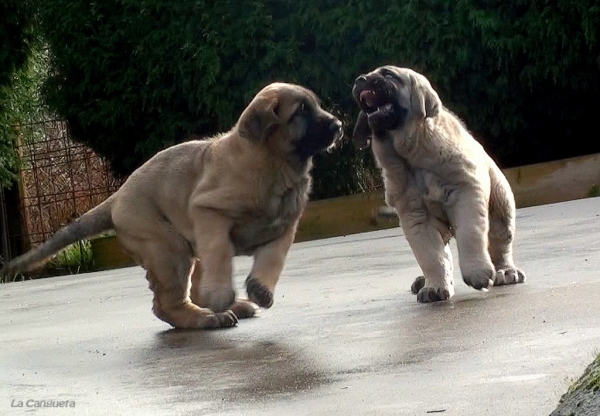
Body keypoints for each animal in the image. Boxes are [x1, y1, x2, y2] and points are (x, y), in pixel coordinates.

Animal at [1, 82, 342, 328]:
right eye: (301, 111)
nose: (338, 125)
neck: (276, 164)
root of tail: (116, 198)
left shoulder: (284, 227)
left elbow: (273, 258)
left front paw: (260, 290)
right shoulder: (208, 212)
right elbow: (220, 254)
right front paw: (221, 295)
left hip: (182, 247)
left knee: (188, 289)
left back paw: (228, 308)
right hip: (168, 247)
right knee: (165, 304)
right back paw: (206, 317)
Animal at [352, 67, 524, 302]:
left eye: (388, 75)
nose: (359, 80)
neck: (410, 158)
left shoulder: (466, 194)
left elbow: (470, 234)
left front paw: (477, 273)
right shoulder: (416, 216)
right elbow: (431, 256)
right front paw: (435, 286)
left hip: (500, 205)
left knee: (500, 242)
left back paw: (505, 271)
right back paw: (425, 281)